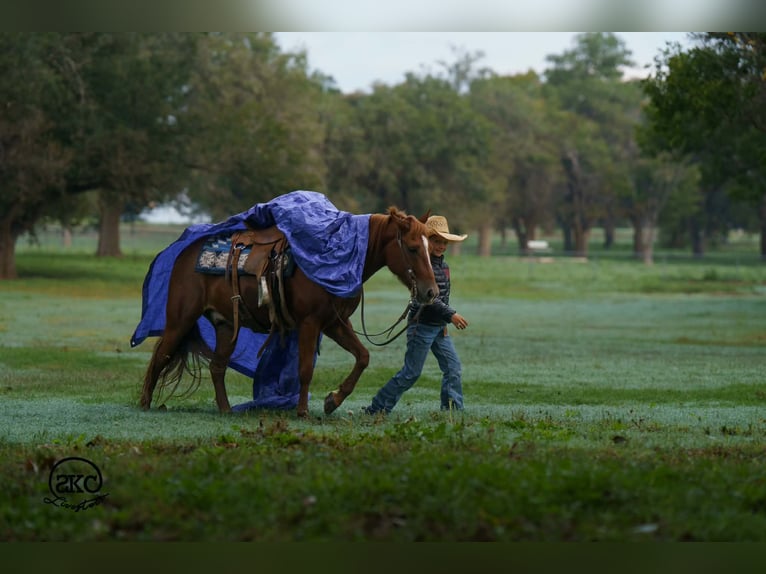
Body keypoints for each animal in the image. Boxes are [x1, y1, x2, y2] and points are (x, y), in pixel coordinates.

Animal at [138, 206, 438, 418]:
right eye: (413, 248)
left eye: (429, 246)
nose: (431, 292)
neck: (342, 258)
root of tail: (184, 254)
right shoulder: (310, 323)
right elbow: (305, 368)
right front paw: (303, 410)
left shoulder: (335, 322)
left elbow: (363, 356)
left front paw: (333, 400)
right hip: (180, 319)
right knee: (161, 356)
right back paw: (144, 404)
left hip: (226, 326)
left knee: (216, 366)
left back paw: (225, 410)